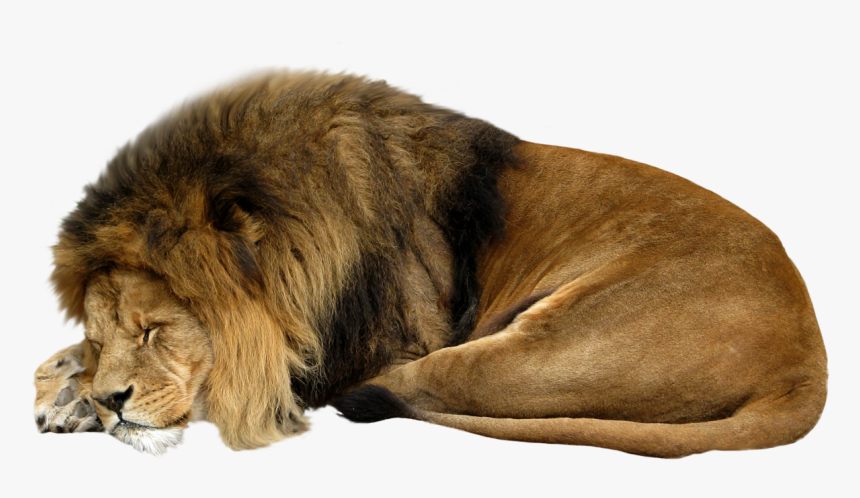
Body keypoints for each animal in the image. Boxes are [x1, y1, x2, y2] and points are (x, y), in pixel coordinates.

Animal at [33, 71, 827, 457]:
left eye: (156, 330)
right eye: (103, 335)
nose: (111, 401)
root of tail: (810, 356)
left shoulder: (376, 338)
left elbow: (249, 379)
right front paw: (68, 390)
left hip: (542, 343)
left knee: (429, 384)